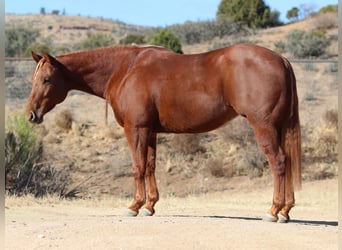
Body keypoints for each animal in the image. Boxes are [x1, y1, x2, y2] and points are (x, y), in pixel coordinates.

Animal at [25, 44, 300, 223]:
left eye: (47, 79)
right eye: (33, 79)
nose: (31, 115)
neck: (125, 70)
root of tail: (282, 60)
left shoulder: (135, 129)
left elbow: (137, 167)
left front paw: (134, 206)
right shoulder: (150, 131)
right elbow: (150, 166)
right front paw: (149, 206)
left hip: (264, 126)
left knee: (278, 162)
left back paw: (274, 211)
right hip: (278, 127)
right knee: (287, 161)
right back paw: (286, 211)